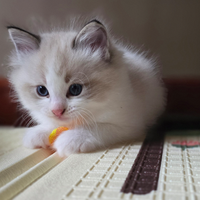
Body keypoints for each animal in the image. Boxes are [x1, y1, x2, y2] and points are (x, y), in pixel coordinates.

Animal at [6, 19, 166, 156]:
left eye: (75, 89)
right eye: (42, 90)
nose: (57, 111)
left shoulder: (130, 125)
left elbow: (97, 127)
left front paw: (72, 138)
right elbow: (51, 123)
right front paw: (39, 132)